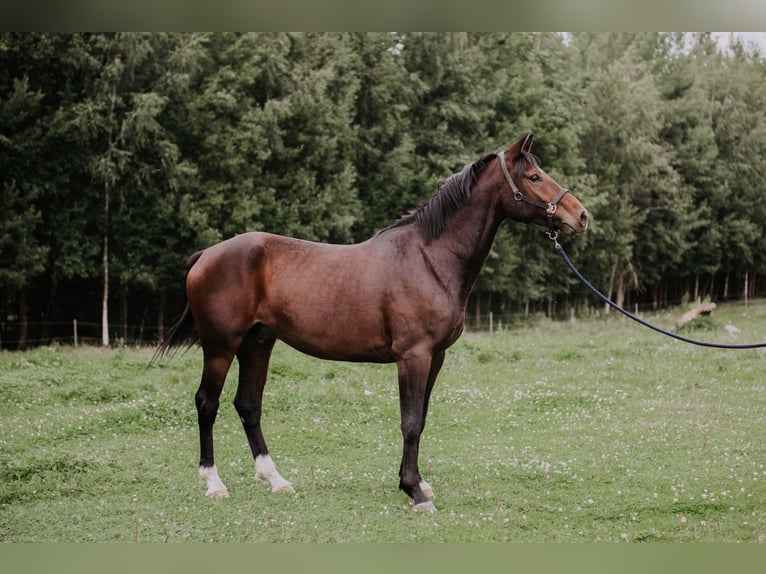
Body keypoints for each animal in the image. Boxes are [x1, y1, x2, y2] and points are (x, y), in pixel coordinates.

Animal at [156, 134, 588, 512]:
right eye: (534, 176)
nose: (580, 216)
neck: (429, 259)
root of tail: (207, 255)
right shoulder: (413, 356)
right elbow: (410, 422)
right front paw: (415, 492)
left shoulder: (436, 357)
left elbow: (422, 418)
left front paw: (417, 481)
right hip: (221, 346)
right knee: (207, 403)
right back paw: (214, 483)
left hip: (257, 343)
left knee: (248, 404)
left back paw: (275, 479)